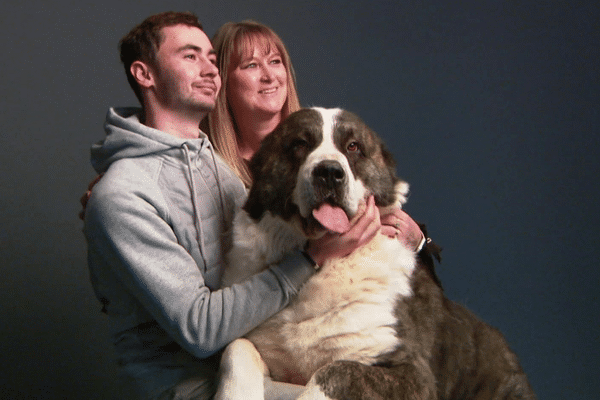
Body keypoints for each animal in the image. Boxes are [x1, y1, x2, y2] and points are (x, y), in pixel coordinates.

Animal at [214, 108, 536, 398]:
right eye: (300, 144)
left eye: (353, 147)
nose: (329, 172)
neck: (324, 266)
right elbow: (235, 348)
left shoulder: (414, 376)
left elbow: (335, 372)